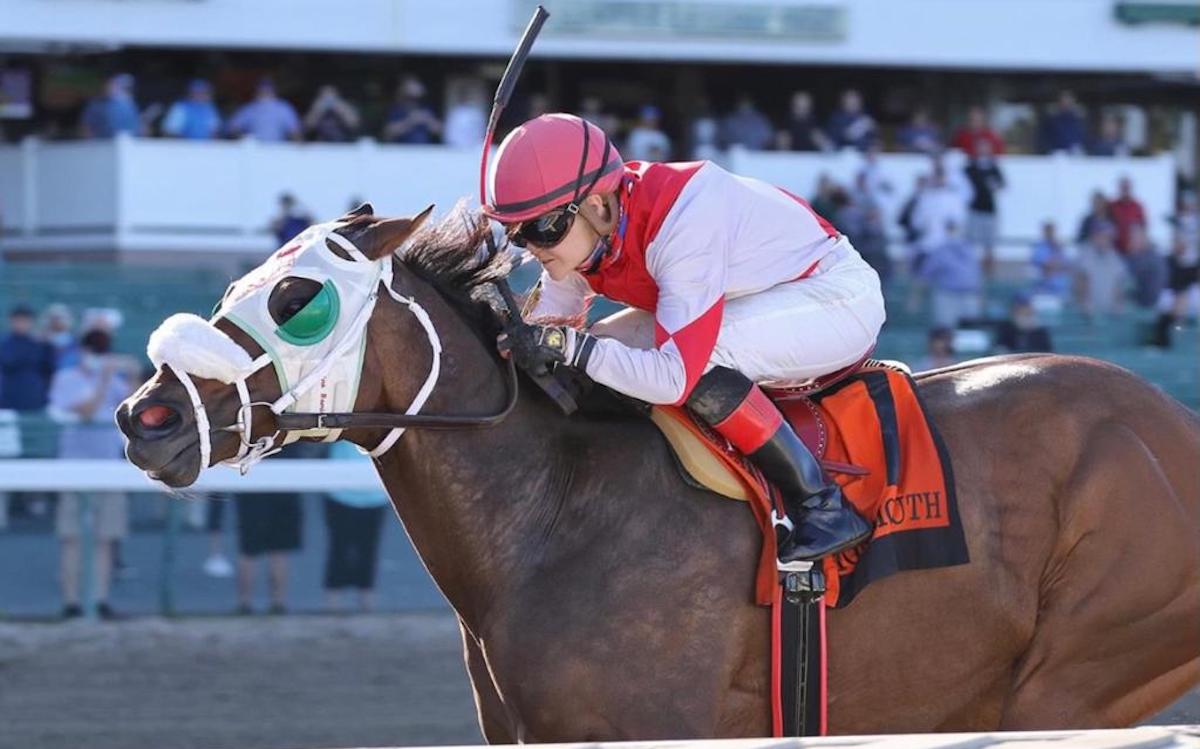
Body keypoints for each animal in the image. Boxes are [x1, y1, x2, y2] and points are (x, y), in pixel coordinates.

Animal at [119, 205, 1200, 744]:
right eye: (235, 286)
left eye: (298, 299)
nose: (145, 414)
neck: (555, 510)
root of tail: (1173, 422)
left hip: (1074, 673)